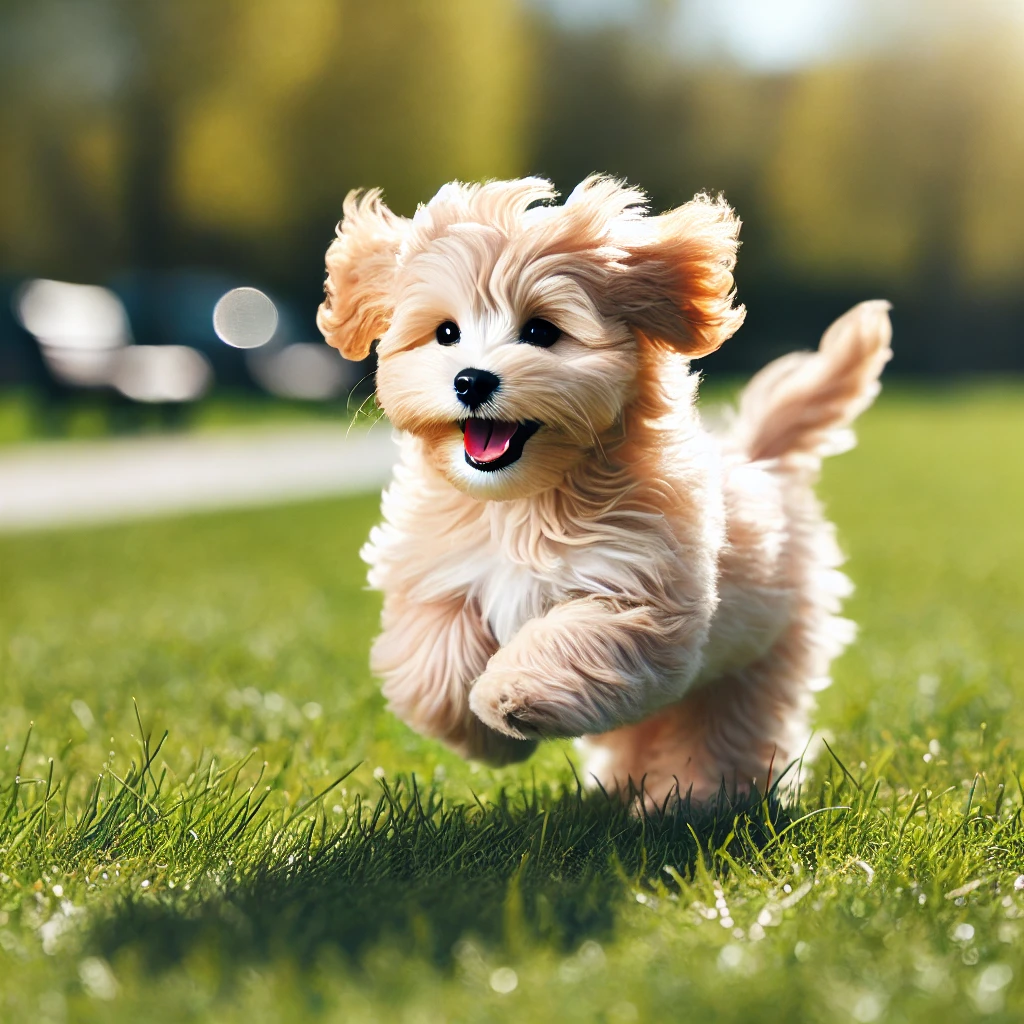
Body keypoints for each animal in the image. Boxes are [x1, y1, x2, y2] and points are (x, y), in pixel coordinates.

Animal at [315, 180, 892, 811]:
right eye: (446, 332)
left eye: (541, 332)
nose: (471, 380)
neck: (523, 502)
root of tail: (759, 460)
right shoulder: (438, 574)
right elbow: (434, 663)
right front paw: (487, 737)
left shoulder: (637, 588)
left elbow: (573, 638)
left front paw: (509, 696)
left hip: (759, 653)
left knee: (723, 726)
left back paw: (693, 798)